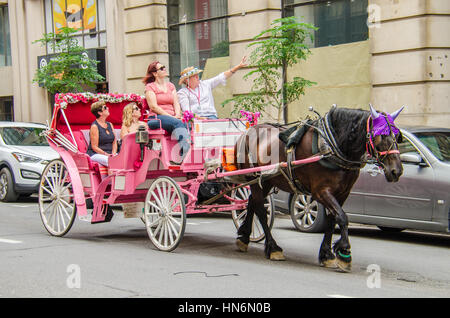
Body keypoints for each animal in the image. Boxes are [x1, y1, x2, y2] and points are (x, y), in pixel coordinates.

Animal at [234, 105, 402, 272]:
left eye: (397, 136)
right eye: (381, 135)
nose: (397, 171)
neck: (332, 146)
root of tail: (248, 132)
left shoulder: (343, 193)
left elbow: (332, 219)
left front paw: (327, 254)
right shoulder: (320, 191)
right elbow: (342, 217)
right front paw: (344, 253)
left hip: (266, 180)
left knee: (251, 203)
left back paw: (244, 238)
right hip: (255, 179)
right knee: (261, 211)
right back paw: (273, 248)